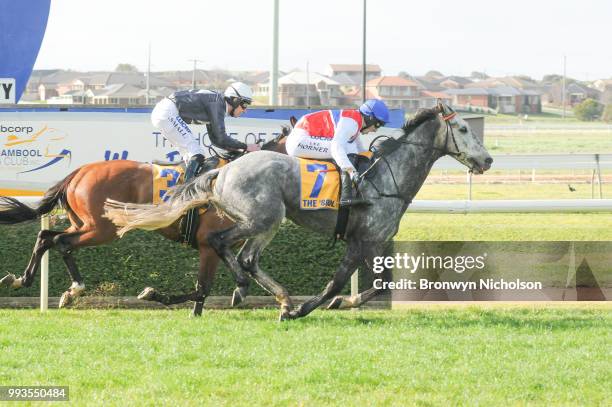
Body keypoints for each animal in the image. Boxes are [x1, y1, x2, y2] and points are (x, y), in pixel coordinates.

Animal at [0, 126, 290, 318]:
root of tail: (78, 172)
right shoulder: (209, 245)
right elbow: (202, 288)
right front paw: (154, 294)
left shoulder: (219, 246)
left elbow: (206, 288)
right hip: (103, 229)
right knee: (62, 241)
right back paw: (74, 289)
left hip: (83, 224)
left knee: (46, 237)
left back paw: (21, 279)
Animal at [106, 103, 492, 320]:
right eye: (462, 128)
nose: (487, 160)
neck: (387, 176)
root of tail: (222, 172)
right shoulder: (364, 240)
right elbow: (351, 282)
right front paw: (317, 307)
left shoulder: (369, 241)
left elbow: (367, 284)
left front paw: (333, 305)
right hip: (264, 218)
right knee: (222, 243)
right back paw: (262, 294)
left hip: (265, 223)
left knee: (245, 257)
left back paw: (271, 295)